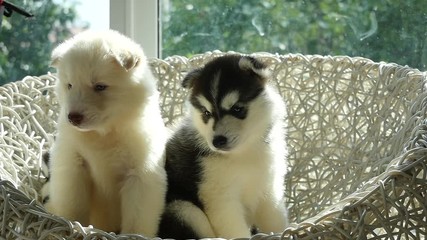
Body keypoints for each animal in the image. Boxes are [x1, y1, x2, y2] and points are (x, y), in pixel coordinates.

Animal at [47, 30, 167, 236]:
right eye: (69, 85)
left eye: (100, 86)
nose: (73, 117)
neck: (103, 134)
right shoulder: (73, 164)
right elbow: (73, 205)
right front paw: (71, 226)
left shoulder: (140, 175)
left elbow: (137, 219)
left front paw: (132, 235)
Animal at [159, 54, 290, 240]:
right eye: (206, 113)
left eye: (237, 109)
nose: (217, 141)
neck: (244, 152)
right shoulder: (221, 199)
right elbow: (236, 231)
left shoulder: (269, 189)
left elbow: (275, 220)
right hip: (184, 210)